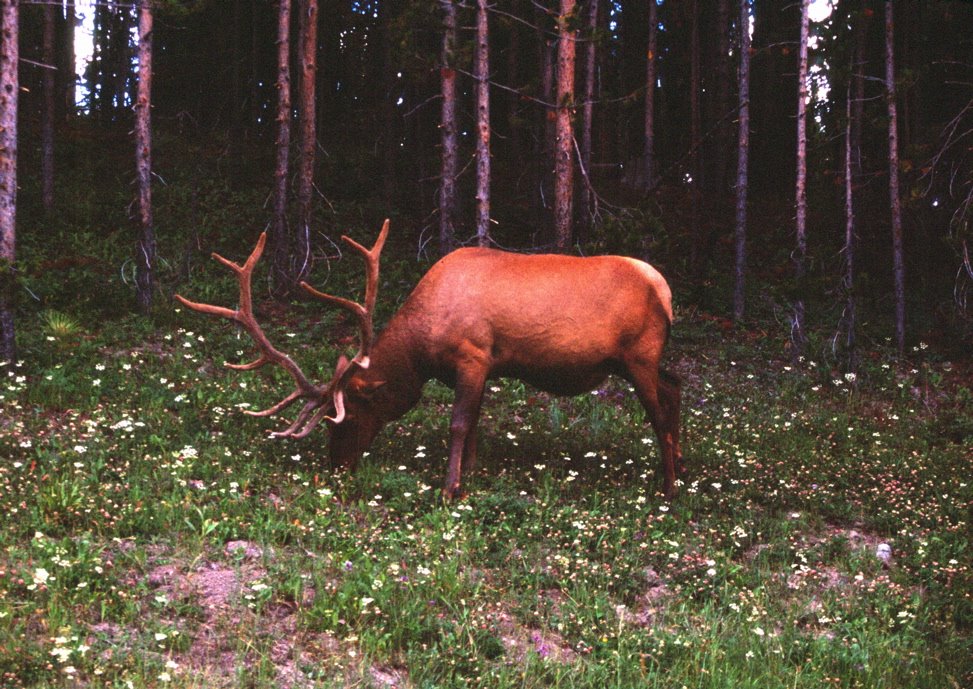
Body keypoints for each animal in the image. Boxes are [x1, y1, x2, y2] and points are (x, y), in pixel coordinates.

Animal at [175, 223, 684, 498]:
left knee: (658, 413)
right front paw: (471, 474)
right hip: (645, 359)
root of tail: (664, 289)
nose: (337, 465)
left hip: (638, 356)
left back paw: (669, 487)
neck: (422, 350)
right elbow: (474, 422)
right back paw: (680, 466)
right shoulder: (485, 365)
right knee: (676, 388)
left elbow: (458, 423)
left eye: (347, 415)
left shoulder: (473, 356)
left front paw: (449, 487)